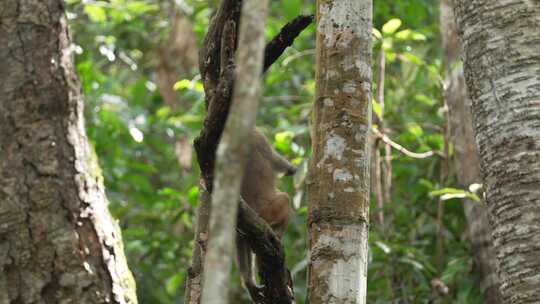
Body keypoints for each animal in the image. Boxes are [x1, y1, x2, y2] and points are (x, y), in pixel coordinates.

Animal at [236, 127, 296, 298]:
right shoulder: (258, 136)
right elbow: (283, 165)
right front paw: (293, 169)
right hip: (269, 212)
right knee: (285, 198)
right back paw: (276, 236)